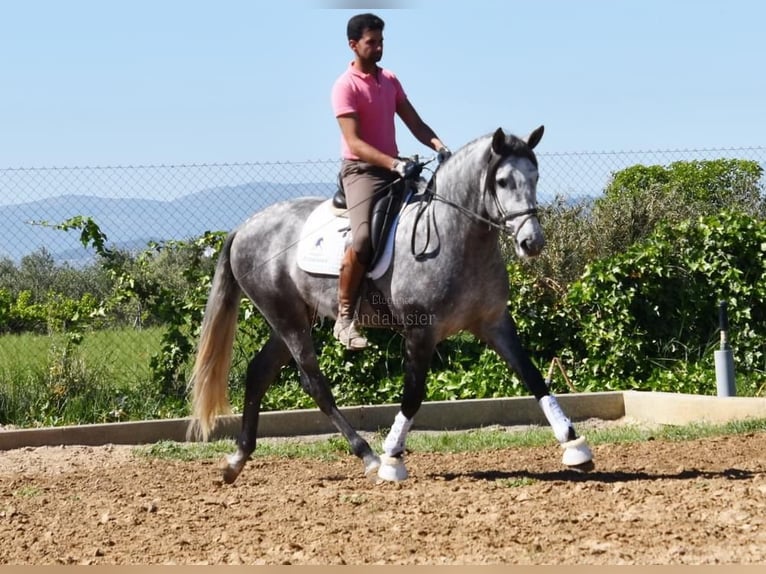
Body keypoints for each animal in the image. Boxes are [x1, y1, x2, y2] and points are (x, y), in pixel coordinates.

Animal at [188, 125, 594, 483]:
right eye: (503, 182)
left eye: (535, 176)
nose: (532, 242)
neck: (457, 238)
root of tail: (245, 227)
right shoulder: (420, 332)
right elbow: (413, 396)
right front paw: (392, 459)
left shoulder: (495, 323)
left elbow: (533, 376)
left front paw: (575, 445)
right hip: (286, 316)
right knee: (314, 382)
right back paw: (367, 456)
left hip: (292, 316)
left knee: (258, 372)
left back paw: (237, 460)